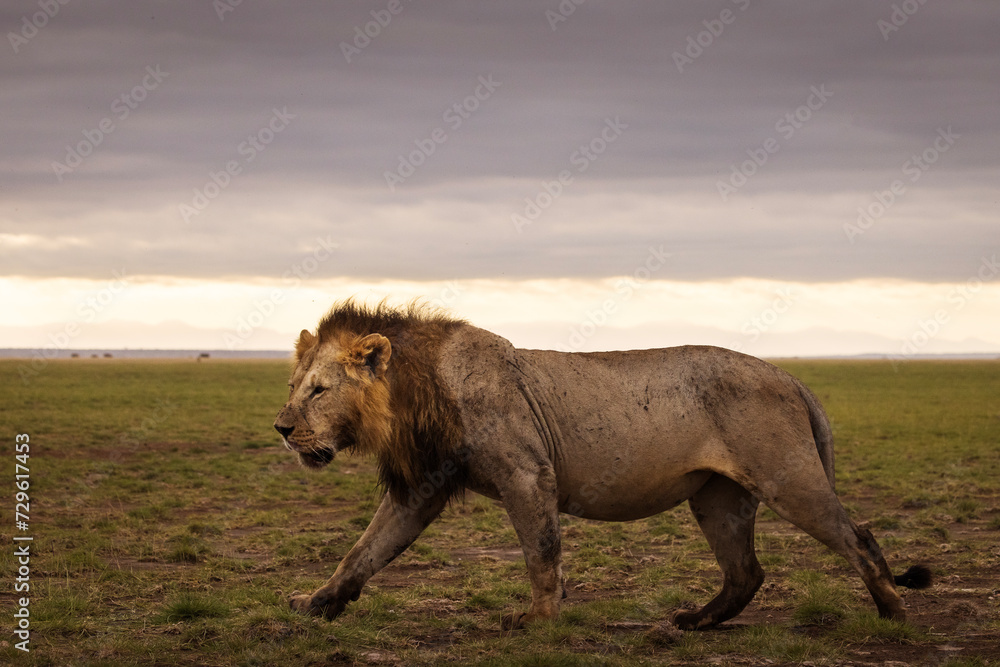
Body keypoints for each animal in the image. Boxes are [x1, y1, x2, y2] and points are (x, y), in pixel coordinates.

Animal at [274, 301, 930, 630]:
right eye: (293, 386)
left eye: (320, 390)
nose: (281, 428)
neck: (416, 389)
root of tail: (791, 376)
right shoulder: (421, 489)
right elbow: (364, 551)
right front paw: (317, 604)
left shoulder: (527, 473)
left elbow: (541, 552)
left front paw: (538, 620)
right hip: (717, 496)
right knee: (746, 572)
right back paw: (696, 622)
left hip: (787, 478)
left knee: (858, 536)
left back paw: (893, 615)